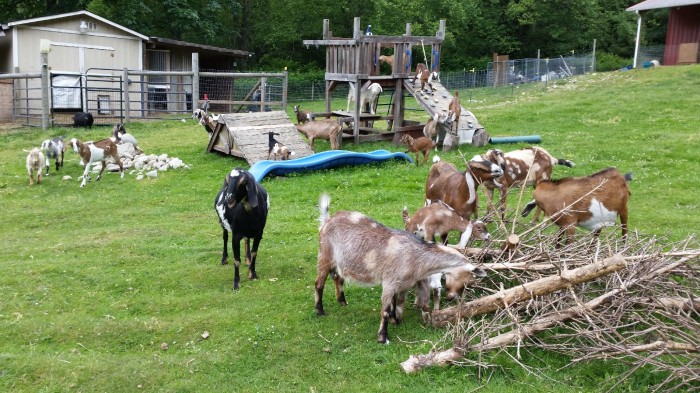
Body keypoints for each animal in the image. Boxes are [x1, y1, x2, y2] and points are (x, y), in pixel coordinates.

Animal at [318, 193, 486, 344]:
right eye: (465, 279)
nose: (451, 297)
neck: (418, 257)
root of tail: (327, 220)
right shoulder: (390, 283)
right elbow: (386, 310)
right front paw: (383, 337)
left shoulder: (409, 282)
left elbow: (409, 302)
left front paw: (403, 320)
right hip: (324, 255)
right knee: (319, 284)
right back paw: (319, 310)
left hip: (339, 261)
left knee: (337, 277)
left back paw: (342, 302)